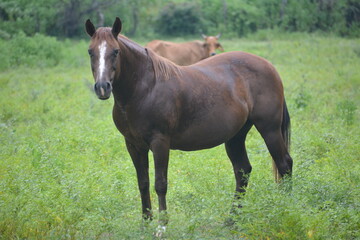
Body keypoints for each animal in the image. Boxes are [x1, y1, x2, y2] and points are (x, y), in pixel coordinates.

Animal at [85, 17, 292, 224]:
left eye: (116, 51)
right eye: (90, 51)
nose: (102, 87)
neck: (145, 89)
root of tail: (269, 66)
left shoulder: (160, 143)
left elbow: (160, 184)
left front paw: (162, 225)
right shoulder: (134, 145)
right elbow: (143, 183)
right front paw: (145, 224)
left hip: (269, 129)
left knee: (285, 164)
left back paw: (287, 211)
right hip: (236, 136)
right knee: (243, 171)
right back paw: (231, 220)